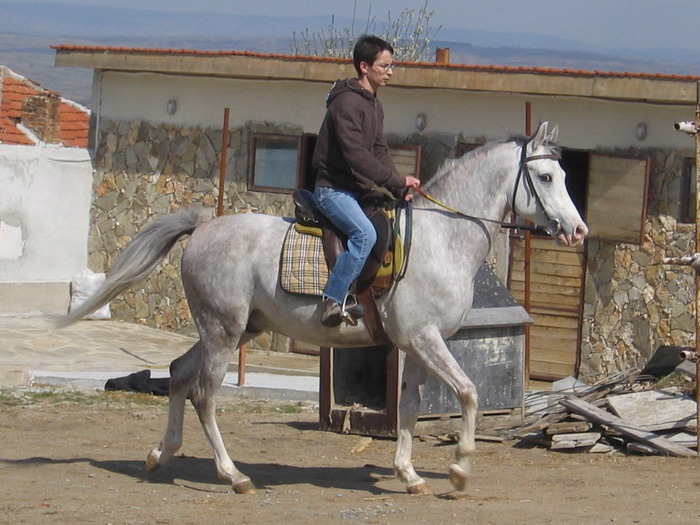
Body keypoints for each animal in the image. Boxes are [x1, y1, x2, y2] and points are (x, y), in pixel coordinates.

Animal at [60, 121, 588, 494]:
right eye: (545, 177)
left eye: (564, 174)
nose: (578, 231)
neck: (442, 237)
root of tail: (202, 228)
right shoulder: (426, 339)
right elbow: (469, 393)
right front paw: (458, 469)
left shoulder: (418, 345)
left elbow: (411, 407)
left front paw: (409, 474)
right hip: (223, 332)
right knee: (204, 395)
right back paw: (233, 475)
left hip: (234, 329)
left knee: (177, 373)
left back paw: (160, 454)